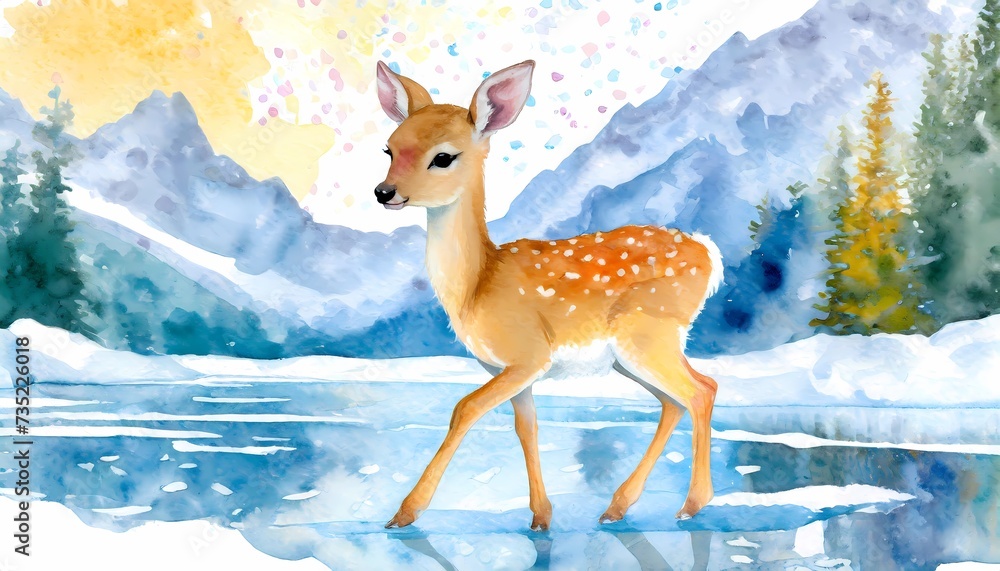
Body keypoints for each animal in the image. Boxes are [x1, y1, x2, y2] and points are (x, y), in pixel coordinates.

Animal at [374, 59, 723, 531]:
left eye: (443, 157)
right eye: (389, 149)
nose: (384, 192)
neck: (477, 287)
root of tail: (708, 251)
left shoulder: (528, 354)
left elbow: (464, 408)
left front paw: (406, 512)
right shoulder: (510, 369)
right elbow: (527, 427)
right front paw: (541, 516)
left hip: (648, 333)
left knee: (699, 392)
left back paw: (691, 504)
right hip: (637, 350)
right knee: (684, 396)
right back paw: (617, 506)